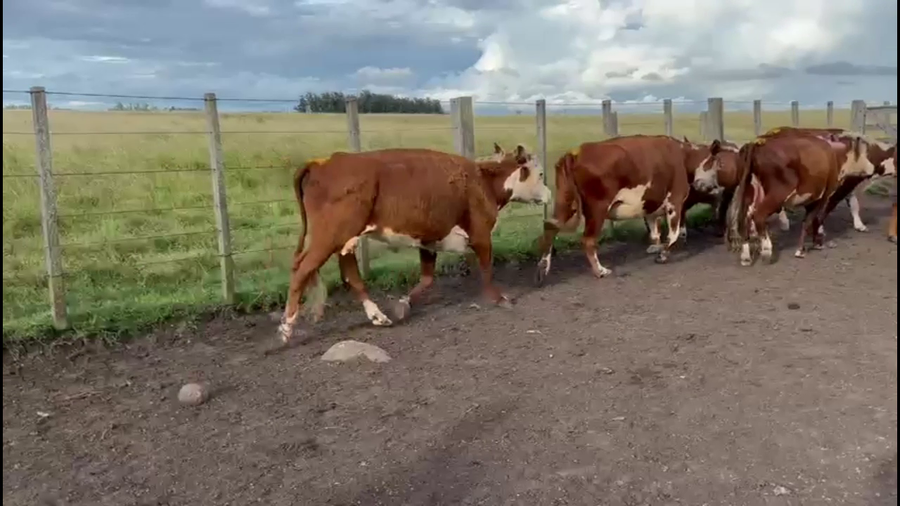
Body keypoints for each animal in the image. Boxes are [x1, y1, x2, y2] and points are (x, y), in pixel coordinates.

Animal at [277, 145, 551, 343]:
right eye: (540, 174)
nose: (549, 194)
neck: (481, 180)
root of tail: (324, 162)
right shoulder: (482, 235)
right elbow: (486, 270)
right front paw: (500, 298)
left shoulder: (429, 241)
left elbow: (427, 279)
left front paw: (403, 305)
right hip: (328, 237)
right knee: (301, 270)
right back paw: (286, 328)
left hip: (344, 240)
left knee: (350, 274)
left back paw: (378, 316)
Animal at [535, 135, 690, 284]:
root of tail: (575, 153)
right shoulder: (675, 200)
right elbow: (673, 234)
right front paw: (662, 255)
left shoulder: (650, 206)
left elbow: (655, 233)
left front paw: (656, 249)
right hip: (597, 208)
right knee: (588, 240)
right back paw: (600, 271)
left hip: (565, 201)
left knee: (550, 227)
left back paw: (543, 267)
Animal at [725, 133, 874, 266]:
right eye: (863, 153)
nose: (872, 168)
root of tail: (757, 144)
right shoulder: (823, 196)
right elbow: (812, 220)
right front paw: (803, 249)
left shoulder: (811, 198)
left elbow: (811, 221)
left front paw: (814, 242)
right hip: (777, 194)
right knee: (759, 216)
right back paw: (767, 250)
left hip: (750, 193)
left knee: (745, 220)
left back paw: (745, 257)